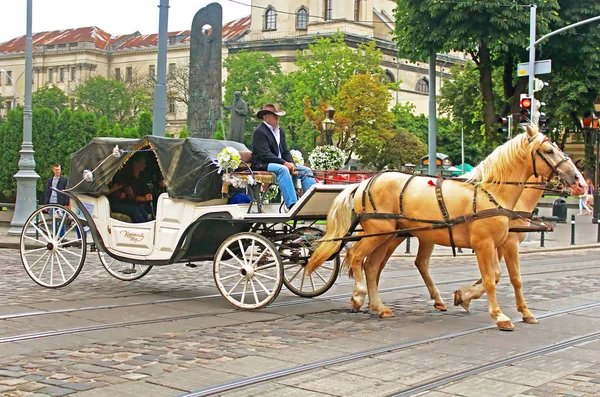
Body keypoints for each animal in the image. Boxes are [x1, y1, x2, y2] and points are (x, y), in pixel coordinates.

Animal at [310, 126, 584, 328]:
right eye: (548, 150)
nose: (579, 181)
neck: (492, 193)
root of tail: (365, 182)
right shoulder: (487, 245)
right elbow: (491, 279)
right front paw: (498, 315)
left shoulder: (500, 243)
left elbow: (509, 277)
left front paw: (517, 310)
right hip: (379, 232)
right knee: (357, 257)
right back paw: (359, 296)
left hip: (390, 235)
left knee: (373, 266)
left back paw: (380, 306)